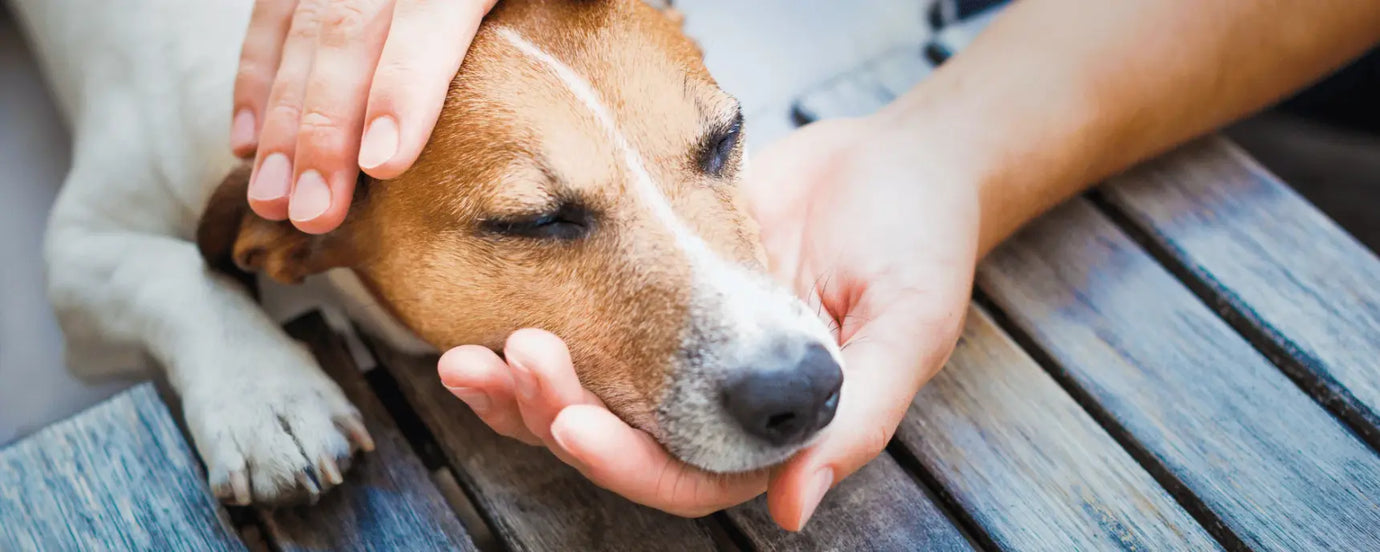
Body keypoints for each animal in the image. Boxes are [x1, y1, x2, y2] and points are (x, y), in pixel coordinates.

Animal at [16, 0, 844, 507]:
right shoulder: (78, 249)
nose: (803, 390)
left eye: (725, 138)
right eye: (535, 221)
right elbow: (173, 272)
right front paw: (267, 399)